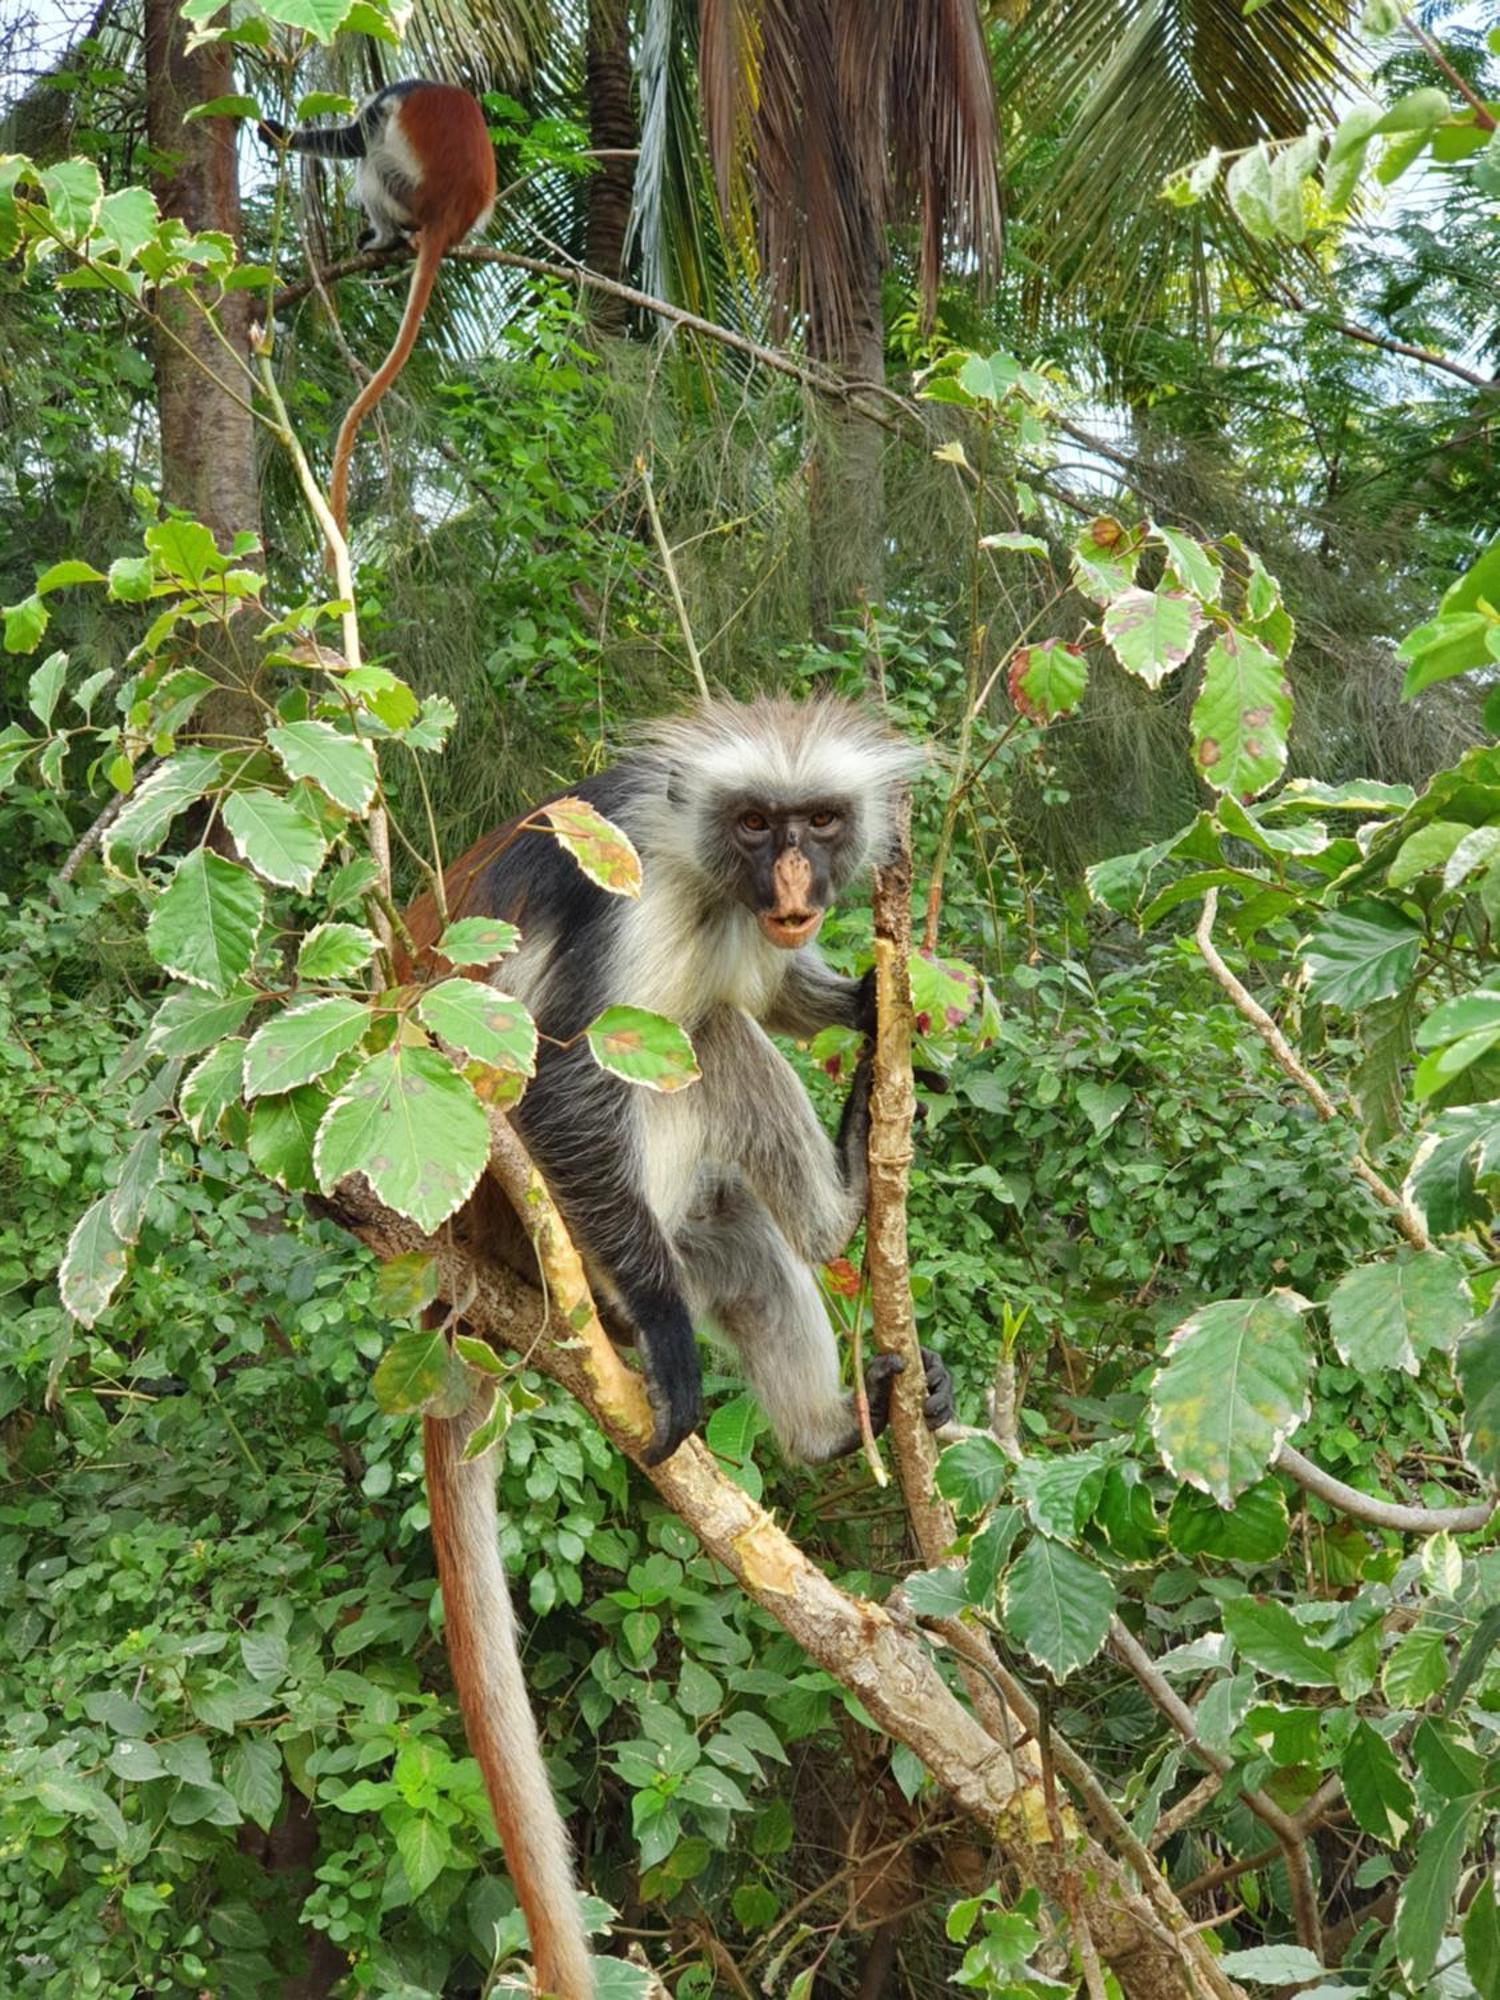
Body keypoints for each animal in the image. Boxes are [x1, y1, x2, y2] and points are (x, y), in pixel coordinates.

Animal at [258, 82, 494, 540]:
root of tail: (447, 215)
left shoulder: (390, 95)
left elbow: (352, 142)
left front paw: (279, 133)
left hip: (406, 194)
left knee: (370, 160)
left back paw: (386, 239)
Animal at [394, 696, 956, 1992]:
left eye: (816, 822)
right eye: (753, 825)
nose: (794, 879)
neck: (714, 890)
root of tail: (464, 1268)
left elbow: (782, 985)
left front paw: (871, 999)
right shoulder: (632, 896)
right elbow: (557, 1076)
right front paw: (663, 1337)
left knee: (739, 1220)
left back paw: (833, 1422)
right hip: (547, 1213)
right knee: (701, 1036)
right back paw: (830, 1216)